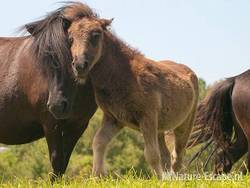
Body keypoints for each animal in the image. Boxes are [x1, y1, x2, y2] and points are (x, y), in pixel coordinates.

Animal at [0, 2, 97, 179]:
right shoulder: (50, 123)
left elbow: (64, 161)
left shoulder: (78, 124)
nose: (57, 105)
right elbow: (57, 159)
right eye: (43, 58)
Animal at [67, 16, 199, 178]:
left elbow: (151, 154)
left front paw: (158, 180)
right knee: (167, 156)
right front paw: (96, 177)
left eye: (96, 35)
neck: (124, 74)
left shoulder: (147, 117)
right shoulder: (114, 119)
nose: (79, 65)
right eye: (71, 38)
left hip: (185, 124)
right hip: (159, 129)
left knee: (178, 156)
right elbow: (98, 142)